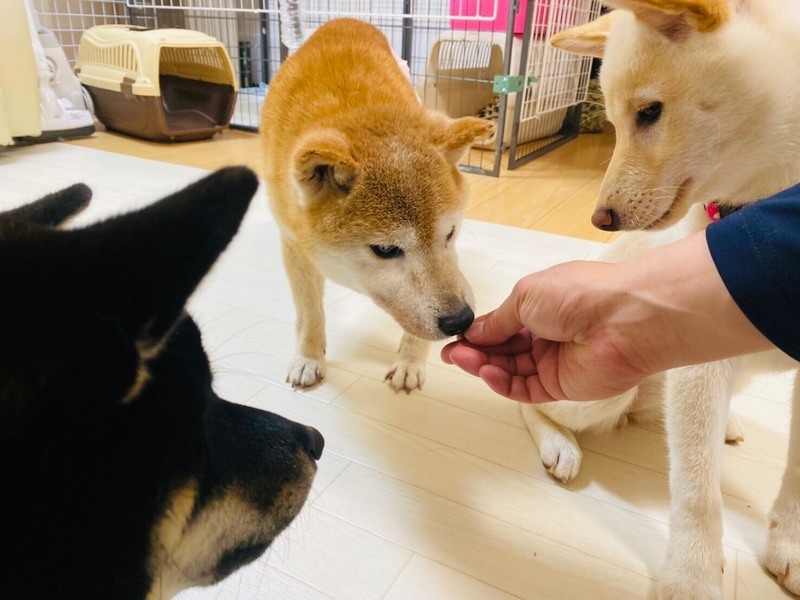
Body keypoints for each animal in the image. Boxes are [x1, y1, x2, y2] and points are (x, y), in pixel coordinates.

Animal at [261, 18, 495, 392]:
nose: (461, 320)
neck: (353, 108)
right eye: (385, 250)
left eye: (451, 233)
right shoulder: (293, 244)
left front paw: (410, 362)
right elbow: (309, 313)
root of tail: (346, 20)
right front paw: (308, 358)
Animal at [520, 1, 800, 598]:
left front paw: (788, 542)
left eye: (649, 113)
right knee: (528, 400)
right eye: (616, 121)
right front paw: (692, 575)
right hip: (599, 388)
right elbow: (697, 496)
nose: (600, 218)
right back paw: (559, 443)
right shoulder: (700, 366)